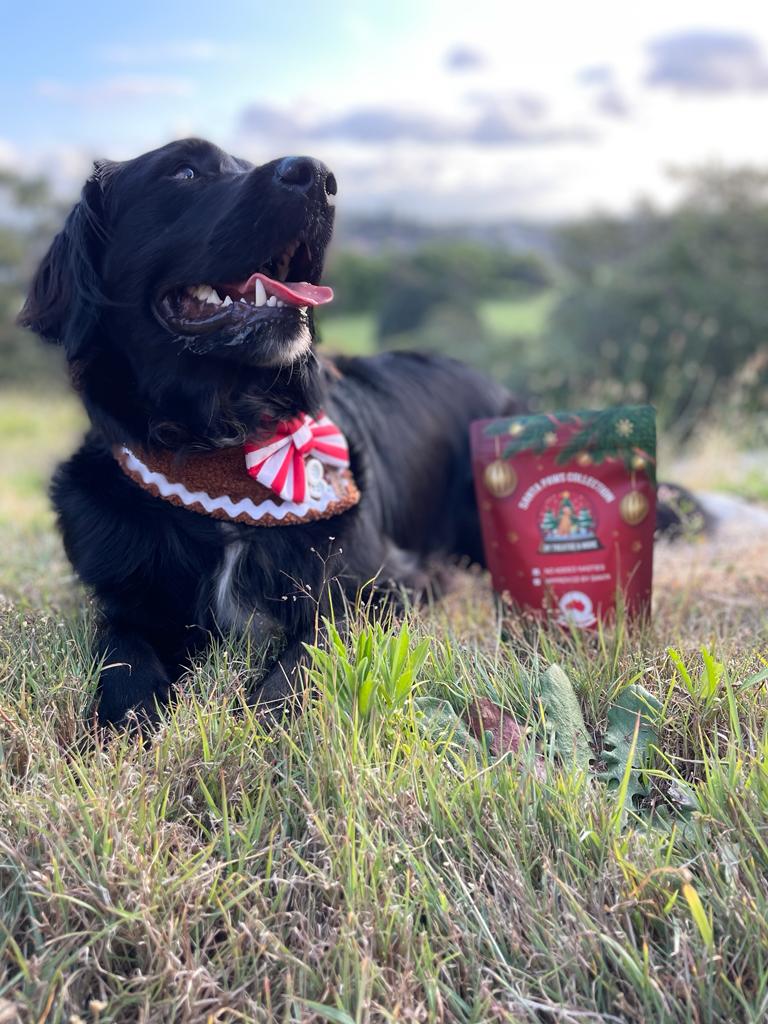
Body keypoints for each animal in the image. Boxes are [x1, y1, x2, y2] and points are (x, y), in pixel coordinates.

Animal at [19, 138, 512, 729]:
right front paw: (137, 719)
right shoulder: (124, 599)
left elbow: (314, 650)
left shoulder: (387, 586)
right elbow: (121, 653)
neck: (227, 461)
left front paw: (257, 720)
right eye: (184, 171)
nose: (319, 177)